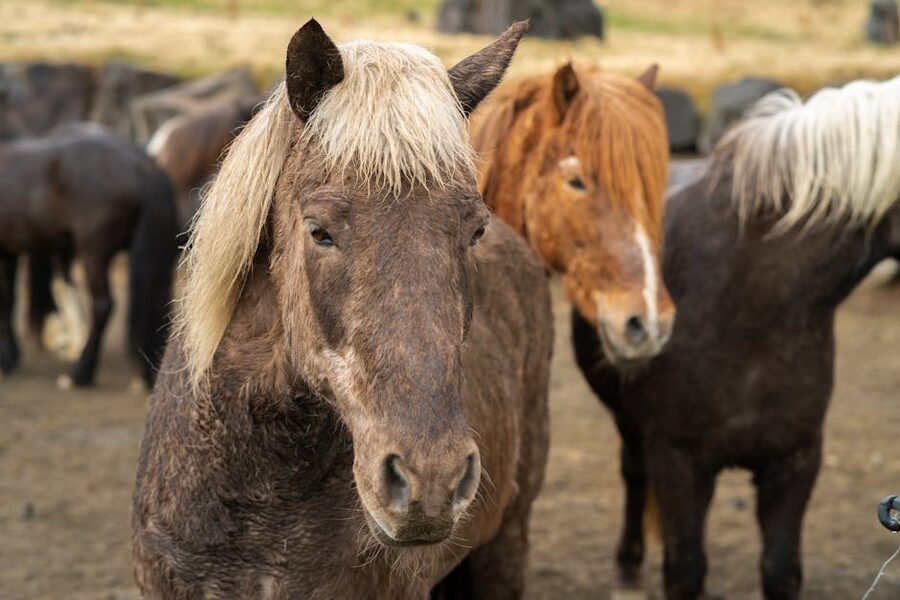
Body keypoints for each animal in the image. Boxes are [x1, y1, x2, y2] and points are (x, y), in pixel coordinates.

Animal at [0, 123, 178, 387]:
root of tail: (142, 164)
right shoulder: (12, 249)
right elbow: (11, 297)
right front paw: (11, 355)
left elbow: (5, 300)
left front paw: (6, 359)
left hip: (94, 253)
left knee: (103, 304)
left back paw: (80, 372)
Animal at [573, 76, 900, 599]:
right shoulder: (678, 459)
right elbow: (685, 571)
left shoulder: (795, 460)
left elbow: (780, 571)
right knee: (632, 471)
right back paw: (627, 571)